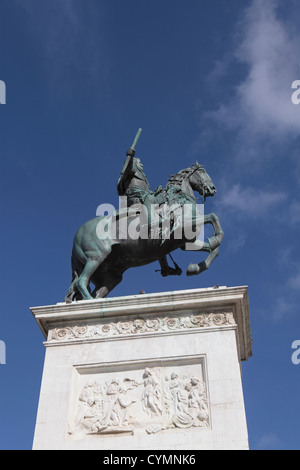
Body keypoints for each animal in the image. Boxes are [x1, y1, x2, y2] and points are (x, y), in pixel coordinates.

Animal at [66, 162, 225, 302]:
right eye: (202, 171)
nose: (213, 189)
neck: (178, 200)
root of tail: (77, 237)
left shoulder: (186, 242)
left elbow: (214, 250)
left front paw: (194, 268)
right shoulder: (182, 227)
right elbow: (213, 217)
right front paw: (216, 238)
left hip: (110, 276)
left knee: (93, 290)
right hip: (96, 257)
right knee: (81, 281)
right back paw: (88, 302)